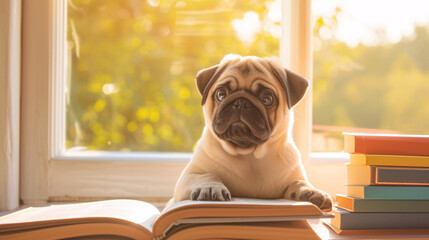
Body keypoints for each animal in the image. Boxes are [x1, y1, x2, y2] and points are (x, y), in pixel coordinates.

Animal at [171, 54, 332, 212]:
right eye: (221, 94)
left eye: (267, 99)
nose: (241, 102)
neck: (249, 154)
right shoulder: (187, 179)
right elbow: (206, 175)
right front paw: (210, 187)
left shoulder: (294, 176)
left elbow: (299, 182)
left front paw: (311, 191)